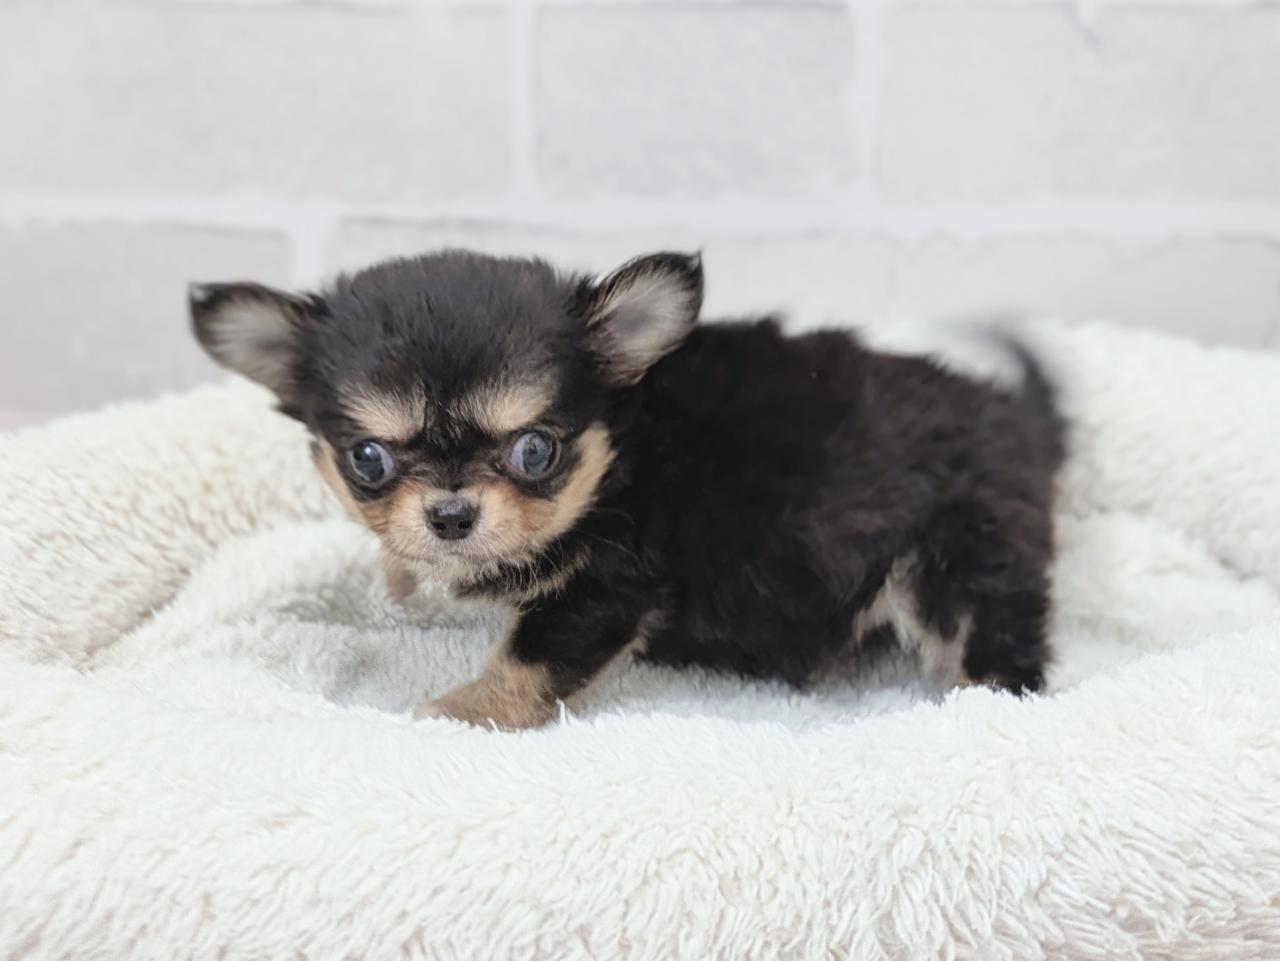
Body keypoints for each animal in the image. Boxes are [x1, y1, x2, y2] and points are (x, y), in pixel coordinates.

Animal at [189, 250, 1065, 729]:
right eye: (367, 459)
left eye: (535, 449)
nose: (450, 514)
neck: (620, 454)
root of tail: (1014, 417)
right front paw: (403, 571)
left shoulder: (607, 587)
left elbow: (529, 657)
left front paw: (464, 711)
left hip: (955, 563)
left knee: (1002, 652)